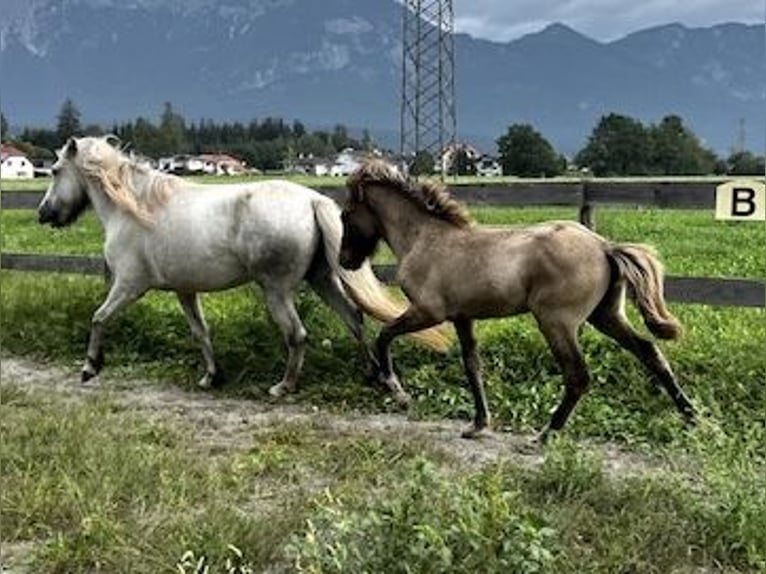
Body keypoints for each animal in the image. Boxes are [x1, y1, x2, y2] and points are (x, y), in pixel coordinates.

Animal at [39, 137, 450, 398]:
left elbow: (99, 317)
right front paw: (211, 377)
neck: (135, 209)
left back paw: (284, 387)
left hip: (277, 290)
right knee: (354, 318)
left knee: (298, 334)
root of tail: (313, 200)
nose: (45, 214)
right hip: (322, 279)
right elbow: (200, 332)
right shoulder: (185, 290)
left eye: (56, 170)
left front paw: (90, 368)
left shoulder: (129, 286)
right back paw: (374, 376)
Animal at [340, 160, 700, 438]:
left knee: (578, 376)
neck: (424, 239)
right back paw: (691, 415)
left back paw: (547, 433)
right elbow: (472, 365)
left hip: (557, 322)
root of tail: (604, 246)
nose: (345, 261)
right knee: (649, 351)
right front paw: (478, 424)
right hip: (606, 315)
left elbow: (385, 335)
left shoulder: (429, 312)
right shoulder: (462, 317)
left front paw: (395, 389)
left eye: (345, 215)